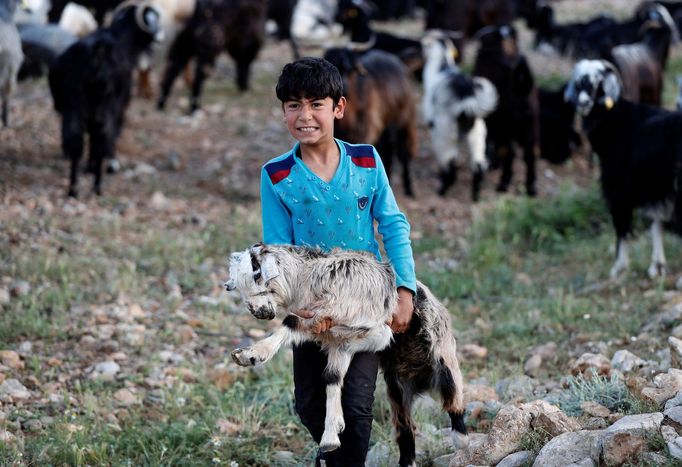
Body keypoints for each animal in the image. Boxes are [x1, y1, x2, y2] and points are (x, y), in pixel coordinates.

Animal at [49, 1, 161, 197]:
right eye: (151, 19)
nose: (160, 37)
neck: (122, 38)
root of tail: (97, 54)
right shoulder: (119, 107)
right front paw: (104, 165)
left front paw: (88, 167)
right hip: (105, 108)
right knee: (102, 138)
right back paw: (97, 186)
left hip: (75, 106)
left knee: (76, 141)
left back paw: (73, 188)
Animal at [223, 243, 468, 466]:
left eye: (257, 279)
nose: (259, 313)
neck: (309, 279)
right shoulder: (336, 338)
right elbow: (331, 376)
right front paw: (331, 435)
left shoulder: (373, 330)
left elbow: (292, 322)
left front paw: (253, 354)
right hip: (398, 388)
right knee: (406, 429)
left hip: (444, 359)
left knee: (454, 403)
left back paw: (461, 443)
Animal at [472, 24, 536, 196]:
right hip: (530, 126)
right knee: (529, 155)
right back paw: (531, 187)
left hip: (507, 128)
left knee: (510, 153)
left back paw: (503, 183)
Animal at [560, 58, 680, 278]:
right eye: (579, 83)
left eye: (598, 83)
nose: (584, 103)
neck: (616, 120)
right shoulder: (654, 187)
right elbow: (656, 224)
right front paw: (657, 266)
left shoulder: (618, 190)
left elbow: (622, 226)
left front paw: (619, 267)